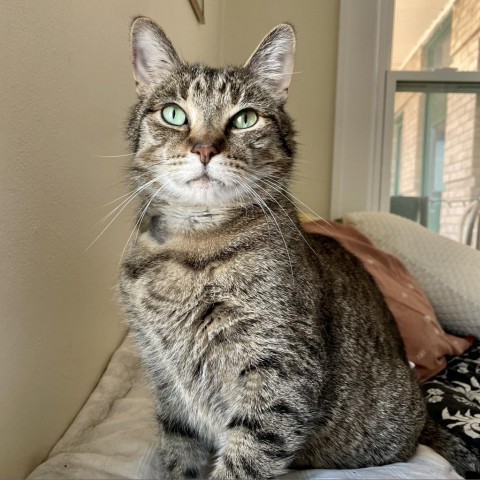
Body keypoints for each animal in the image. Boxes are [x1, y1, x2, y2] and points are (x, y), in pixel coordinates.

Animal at [118, 15, 478, 480]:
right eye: (174, 114)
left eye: (245, 118)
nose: (204, 149)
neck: (193, 242)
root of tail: (421, 412)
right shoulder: (165, 380)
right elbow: (180, 454)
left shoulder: (280, 374)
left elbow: (245, 459)